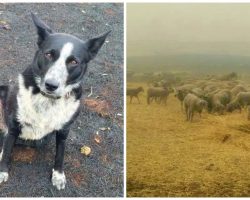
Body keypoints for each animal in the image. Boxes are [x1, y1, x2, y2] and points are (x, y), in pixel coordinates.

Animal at [0, 12, 110, 191]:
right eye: (49, 54)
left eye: (74, 62)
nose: (51, 85)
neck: (47, 99)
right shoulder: (14, 126)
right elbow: (8, 149)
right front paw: (2, 171)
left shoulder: (64, 130)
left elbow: (60, 154)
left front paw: (58, 176)